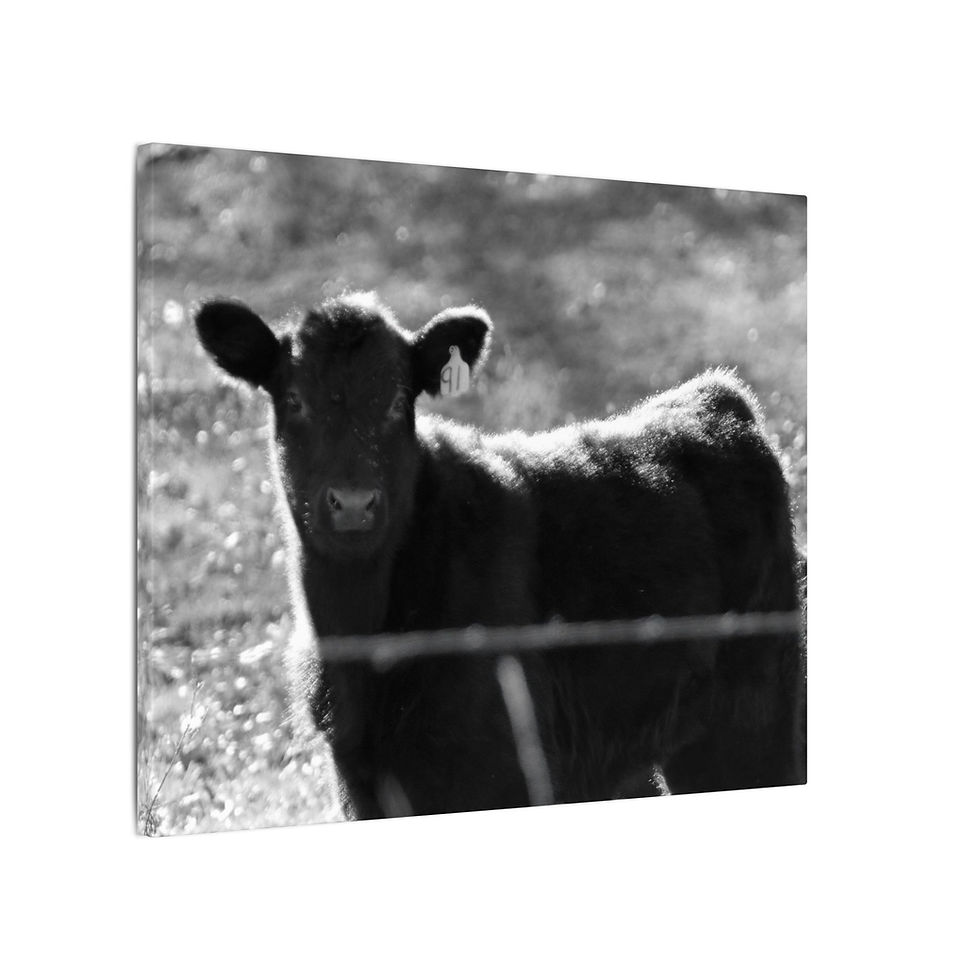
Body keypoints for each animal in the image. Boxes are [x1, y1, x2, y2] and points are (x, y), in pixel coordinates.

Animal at [194, 291, 805, 819]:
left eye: (397, 401)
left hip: (752, 727)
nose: (352, 503)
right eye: (294, 400)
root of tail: (716, 399)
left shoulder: (495, 770)